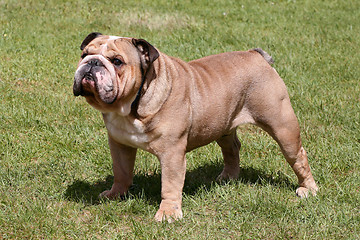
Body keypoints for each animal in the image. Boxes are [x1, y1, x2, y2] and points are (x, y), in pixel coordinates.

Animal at [73, 32, 318, 222]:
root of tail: (255, 55)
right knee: (232, 148)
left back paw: (308, 189)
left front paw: (168, 213)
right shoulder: (119, 144)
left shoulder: (172, 154)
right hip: (223, 127)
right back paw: (228, 177)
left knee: (298, 156)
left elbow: (170, 184)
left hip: (282, 126)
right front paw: (115, 194)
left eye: (117, 61)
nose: (92, 63)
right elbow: (121, 172)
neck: (131, 107)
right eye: (84, 54)